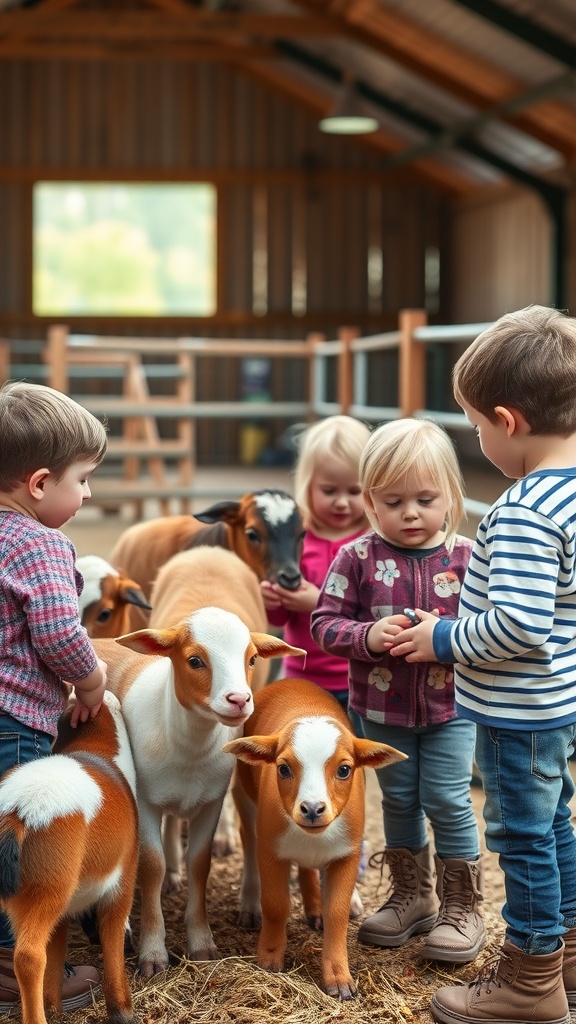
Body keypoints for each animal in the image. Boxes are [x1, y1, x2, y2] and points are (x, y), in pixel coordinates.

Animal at [0, 688, 136, 1024]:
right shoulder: (122, 883)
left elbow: (57, 949)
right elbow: (113, 939)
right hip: (48, 890)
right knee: (29, 957)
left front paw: (55, 1005)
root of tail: (17, 810)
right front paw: (123, 1010)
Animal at [94, 548, 303, 978]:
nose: (239, 700)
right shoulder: (146, 802)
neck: (189, 747)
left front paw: (202, 943)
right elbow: (151, 866)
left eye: (252, 659)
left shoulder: (210, 801)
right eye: (194, 660)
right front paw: (153, 951)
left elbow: (200, 865)